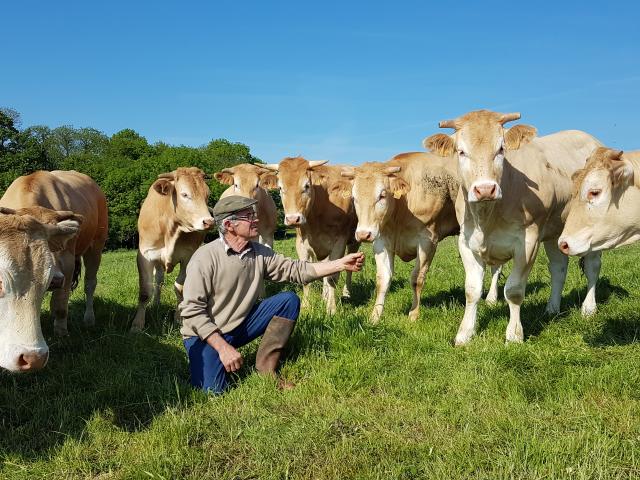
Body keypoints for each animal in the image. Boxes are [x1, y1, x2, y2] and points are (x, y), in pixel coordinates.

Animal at [0, 169, 107, 372]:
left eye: (55, 244)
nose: (55, 280)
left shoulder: (67, 261)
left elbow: (61, 304)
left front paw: (61, 331)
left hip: (96, 245)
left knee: (90, 284)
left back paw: (89, 318)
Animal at [132, 168, 215, 330]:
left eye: (207, 195)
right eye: (185, 194)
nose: (209, 222)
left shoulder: (188, 257)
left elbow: (180, 288)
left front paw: (180, 318)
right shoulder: (145, 255)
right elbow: (145, 291)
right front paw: (137, 324)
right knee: (158, 281)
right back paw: (156, 303)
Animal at [262, 157, 360, 316]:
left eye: (307, 186)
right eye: (280, 188)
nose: (293, 219)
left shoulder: (339, 242)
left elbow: (333, 277)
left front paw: (331, 309)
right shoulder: (301, 244)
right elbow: (306, 274)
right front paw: (306, 306)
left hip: (354, 241)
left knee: (347, 270)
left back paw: (346, 294)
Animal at [342, 154, 502, 324]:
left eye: (382, 195)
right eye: (354, 197)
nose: (363, 234)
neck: (402, 208)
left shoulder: (427, 241)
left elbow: (417, 278)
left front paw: (413, 313)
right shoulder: (381, 241)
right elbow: (382, 280)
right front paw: (375, 316)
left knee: (496, 267)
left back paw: (491, 299)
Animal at [422, 109, 604, 344]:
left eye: (501, 149)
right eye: (461, 151)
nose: (485, 189)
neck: (488, 217)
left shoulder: (528, 241)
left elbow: (515, 290)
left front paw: (515, 334)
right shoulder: (466, 241)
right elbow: (472, 290)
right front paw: (465, 334)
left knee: (592, 267)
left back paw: (588, 309)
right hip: (555, 230)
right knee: (558, 268)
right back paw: (552, 308)